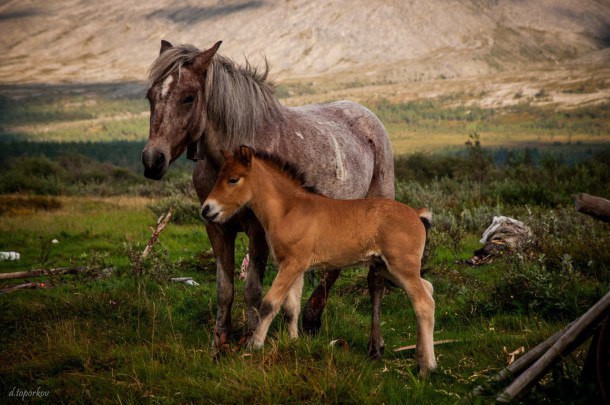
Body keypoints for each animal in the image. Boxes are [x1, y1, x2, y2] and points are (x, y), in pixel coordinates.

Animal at [140, 40, 392, 356]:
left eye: (188, 97)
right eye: (150, 96)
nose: (152, 160)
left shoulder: (257, 230)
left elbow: (253, 290)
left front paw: (249, 340)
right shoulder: (216, 228)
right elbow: (224, 290)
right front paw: (218, 344)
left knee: (375, 280)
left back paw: (374, 345)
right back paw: (312, 320)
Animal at [202, 146, 434, 376]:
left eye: (233, 179)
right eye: (218, 176)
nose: (206, 209)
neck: (288, 209)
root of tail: (416, 213)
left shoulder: (292, 265)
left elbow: (270, 303)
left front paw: (253, 347)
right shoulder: (294, 267)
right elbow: (291, 307)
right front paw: (293, 343)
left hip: (401, 267)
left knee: (423, 303)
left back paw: (426, 367)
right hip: (387, 267)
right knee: (428, 289)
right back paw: (420, 356)